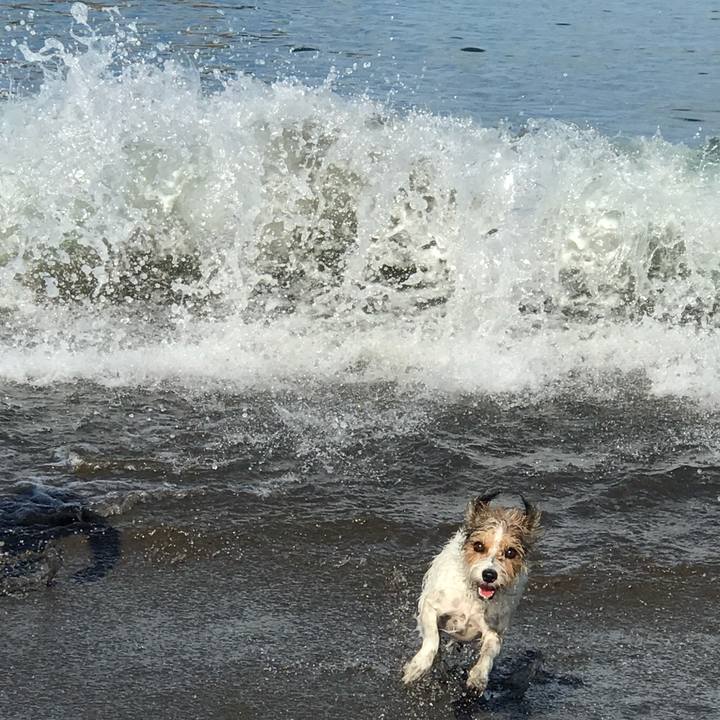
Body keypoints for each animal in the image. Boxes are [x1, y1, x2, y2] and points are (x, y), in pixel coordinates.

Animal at [402, 490, 541, 693]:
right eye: (478, 546)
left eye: (510, 552)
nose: (489, 575)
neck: (474, 597)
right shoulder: (430, 608)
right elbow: (433, 640)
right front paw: (418, 666)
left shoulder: (494, 632)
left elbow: (489, 652)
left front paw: (478, 676)